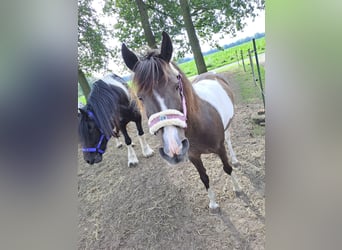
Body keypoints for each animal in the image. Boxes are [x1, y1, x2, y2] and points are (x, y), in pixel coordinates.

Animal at [121, 30, 242, 211]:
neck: (199, 126)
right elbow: (204, 178)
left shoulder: (220, 148)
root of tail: (211, 74)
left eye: (177, 86)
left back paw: (234, 159)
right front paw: (213, 203)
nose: (174, 147)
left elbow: (227, 168)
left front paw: (237, 188)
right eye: (140, 97)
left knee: (228, 140)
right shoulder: (193, 156)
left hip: (227, 127)